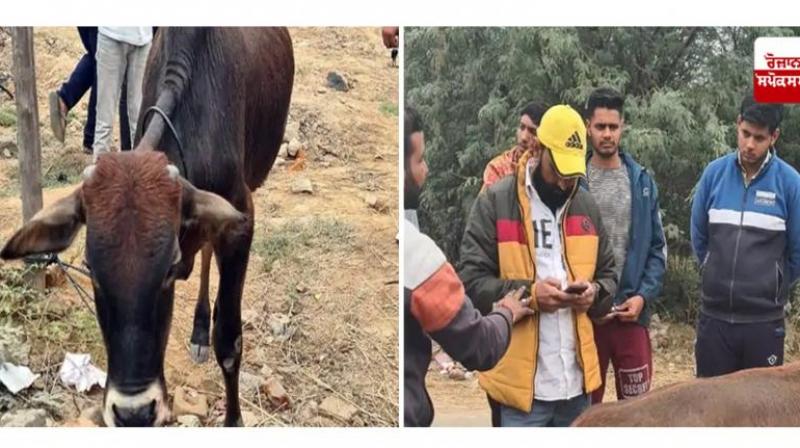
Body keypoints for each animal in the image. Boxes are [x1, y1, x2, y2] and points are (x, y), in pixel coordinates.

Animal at [0, 28, 294, 428]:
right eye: (91, 268)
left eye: (168, 268)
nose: (133, 413)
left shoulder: (239, 222)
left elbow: (230, 343)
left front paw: (233, 419)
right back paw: (199, 326)